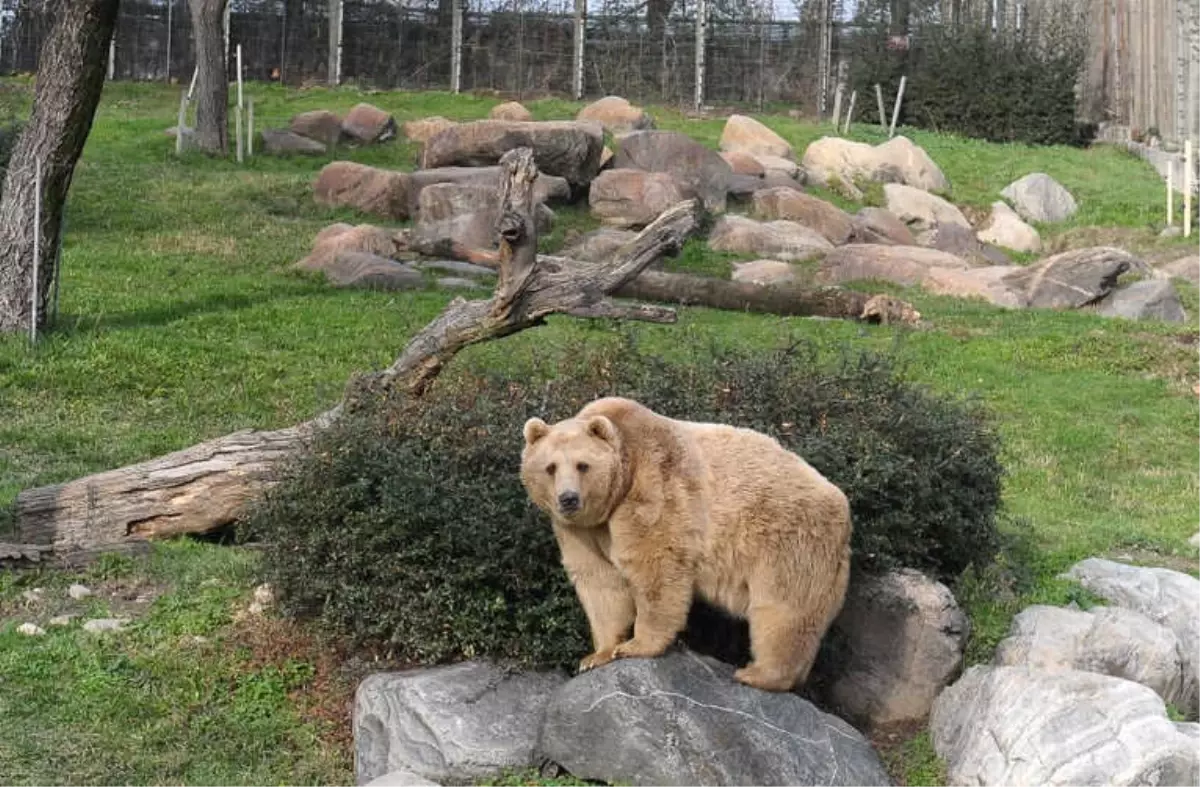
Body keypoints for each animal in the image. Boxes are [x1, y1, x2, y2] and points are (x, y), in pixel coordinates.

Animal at [523, 395, 854, 691]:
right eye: (550, 467)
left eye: (583, 465)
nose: (568, 499)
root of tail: (843, 506)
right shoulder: (580, 529)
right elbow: (599, 581)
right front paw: (596, 655)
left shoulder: (655, 488)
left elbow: (655, 567)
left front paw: (636, 645)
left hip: (791, 541)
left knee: (783, 609)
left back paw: (758, 674)